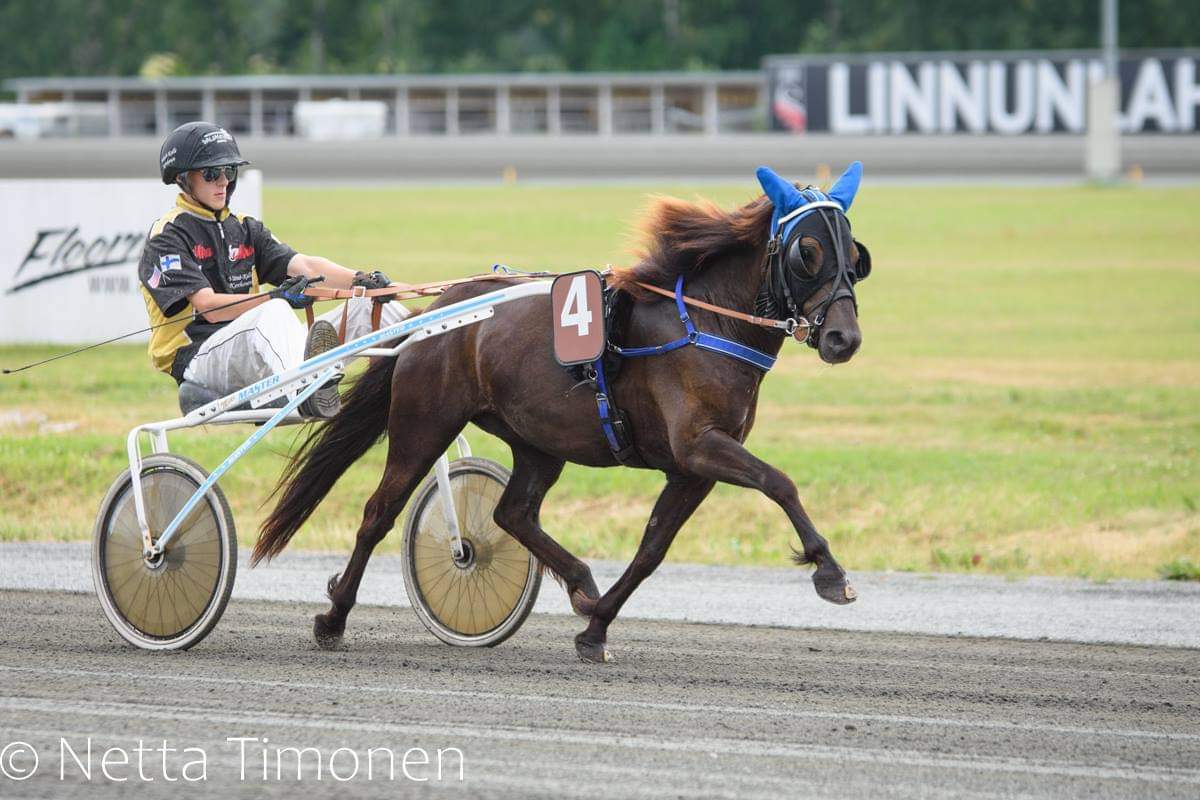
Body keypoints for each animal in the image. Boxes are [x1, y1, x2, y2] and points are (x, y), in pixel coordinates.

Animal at [255, 164, 873, 662]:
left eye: (856, 257)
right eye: (807, 252)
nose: (843, 339)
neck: (706, 322)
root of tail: (440, 311)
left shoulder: (691, 468)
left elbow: (652, 549)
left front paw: (596, 628)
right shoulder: (700, 445)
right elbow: (780, 482)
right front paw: (831, 572)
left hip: (537, 439)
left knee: (512, 513)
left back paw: (580, 583)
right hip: (424, 423)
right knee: (378, 513)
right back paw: (333, 617)